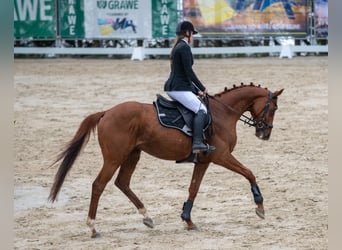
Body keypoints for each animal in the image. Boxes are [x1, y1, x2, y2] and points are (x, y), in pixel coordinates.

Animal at [48, 83, 284, 237]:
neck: (222, 113)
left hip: (132, 155)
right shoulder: (221, 156)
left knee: (122, 183)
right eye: (273, 109)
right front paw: (260, 207)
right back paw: (93, 227)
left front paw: (187, 220)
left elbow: (193, 188)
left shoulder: (204, 161)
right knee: (99, 185)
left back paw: (147, 217)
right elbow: (249, 172)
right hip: (114, 158)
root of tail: (106, 112)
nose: (265, 134)